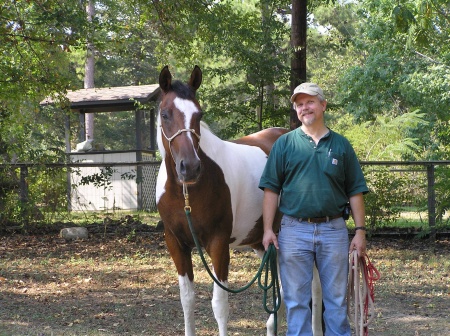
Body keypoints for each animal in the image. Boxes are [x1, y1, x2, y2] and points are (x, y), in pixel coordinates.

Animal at [155, 64, 286, 334]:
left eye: (199, 114)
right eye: (165, 114)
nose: (190, 168)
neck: (185, 193)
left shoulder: (218, 243)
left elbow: (219, 305)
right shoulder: (176, 243)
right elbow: (187, 299)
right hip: (263, 242)